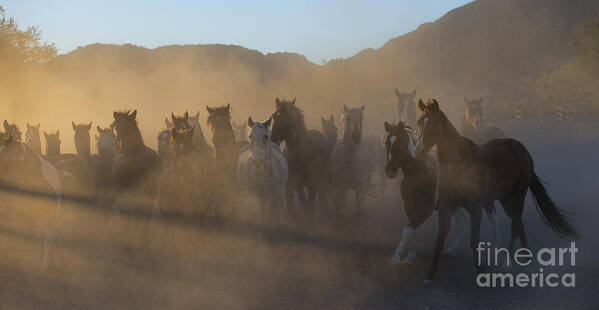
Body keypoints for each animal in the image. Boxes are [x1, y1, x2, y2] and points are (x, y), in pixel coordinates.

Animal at [414, 98, 580, 282]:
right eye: (419, 122)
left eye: (433, 124)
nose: (418, 150)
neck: (461, 163)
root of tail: (521, 149)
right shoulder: (446, 208)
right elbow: (440, 240)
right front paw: (430, 274)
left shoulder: (476, 209)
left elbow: (474, 240)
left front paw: (480, 270)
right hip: (504, 198)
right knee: (518, 222)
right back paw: (525, 256)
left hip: (516, 196)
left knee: (515, 223)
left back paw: (509, 261)